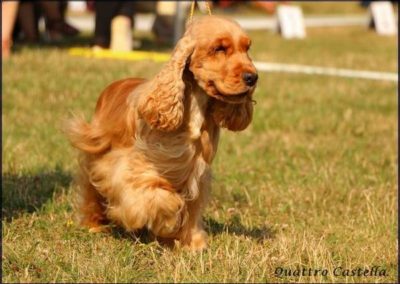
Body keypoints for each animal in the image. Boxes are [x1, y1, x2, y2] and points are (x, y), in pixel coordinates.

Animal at [65, 16, 258, 251]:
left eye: (247, 48)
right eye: (219, 48)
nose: (253, 77)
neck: (194, 108)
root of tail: (112, 87)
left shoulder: (197, 173)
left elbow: (192, 209)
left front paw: (193, 243)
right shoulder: (131, 169)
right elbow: (162, 197)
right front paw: (168, 224)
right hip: (96, 156)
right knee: (91, 191)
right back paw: (94, 224)